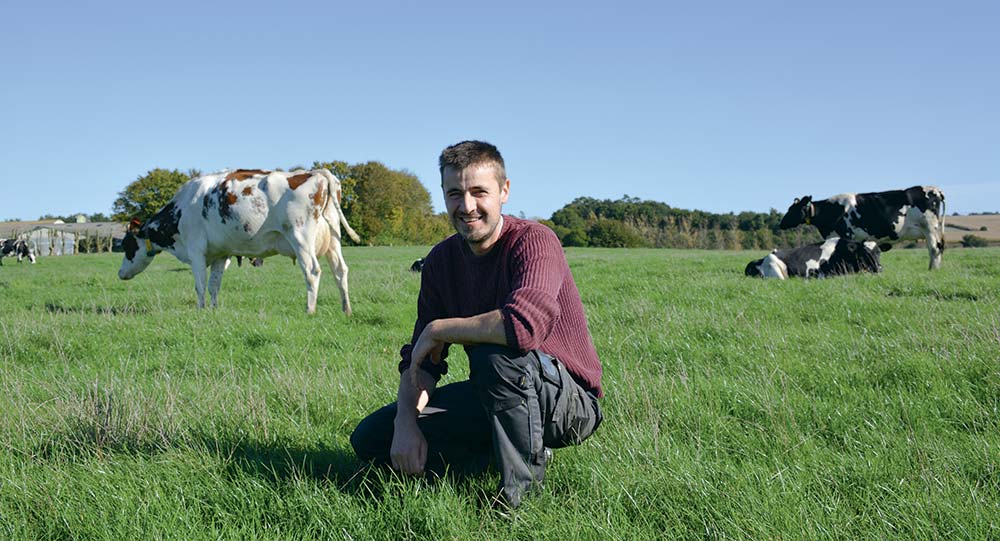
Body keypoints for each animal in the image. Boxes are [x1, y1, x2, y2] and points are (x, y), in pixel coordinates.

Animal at [118, 168, 360, 312]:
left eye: (127, 245)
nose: (120, 273)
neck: (182, 209)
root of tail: (317, 172)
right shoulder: (220, 253)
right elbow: (214, 284)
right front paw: (213, 309)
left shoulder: (196, 250)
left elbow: (200, 284)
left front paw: (200, 309)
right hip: (333, 241)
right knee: (340, 270)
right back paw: (346, 309)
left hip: (300, 237)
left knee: (312, 271)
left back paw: (310, 310)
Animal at [780, 186, 944, 270]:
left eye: (792, 209)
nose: (781, 223)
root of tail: (935, 190)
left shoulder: (845, 234)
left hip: (930, 229)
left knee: (935, 249)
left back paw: (933, 270)